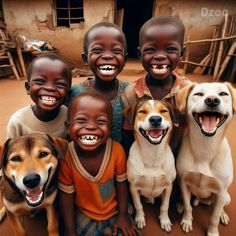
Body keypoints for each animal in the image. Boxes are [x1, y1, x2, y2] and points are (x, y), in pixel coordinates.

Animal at [124, 99, 176, 232]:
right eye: (142, 111)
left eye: (163, 111)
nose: (156, 119)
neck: (153, 154)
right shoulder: (134, 187)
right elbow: (138, 205)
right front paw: (140, 219)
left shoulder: (168, 186)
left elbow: (165, 205)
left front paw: (165, 220)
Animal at [176, 81, 235, 236]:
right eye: (198, 94)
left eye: (223, 94)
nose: (212, 100)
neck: (205, 148)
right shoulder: (184, 182)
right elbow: (188, 206)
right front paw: (187, 220)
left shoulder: (220, 192)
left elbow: (214, 216)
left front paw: (213, 232)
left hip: (226, 197)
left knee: (219, 207)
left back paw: (223, 215)